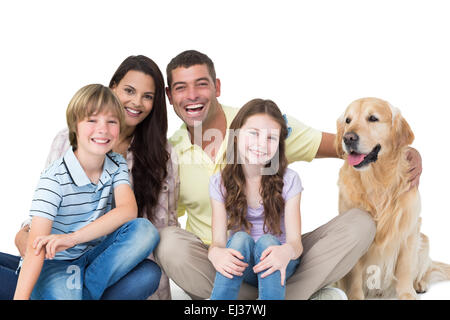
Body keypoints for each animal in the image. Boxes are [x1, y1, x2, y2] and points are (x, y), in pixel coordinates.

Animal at [334, 97, 450, 300]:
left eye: (373, 118)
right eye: (348, 120)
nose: (347, 138)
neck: (377, 181)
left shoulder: (409, 229)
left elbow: (404, 268)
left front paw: (407, 294)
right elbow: (354, 274)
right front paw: (355, 296)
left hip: (424, 240)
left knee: (425, 269)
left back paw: (420, 284)